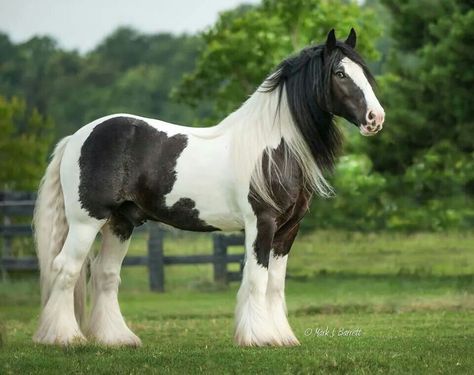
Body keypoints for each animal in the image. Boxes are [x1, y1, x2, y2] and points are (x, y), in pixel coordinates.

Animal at [32, 27, 382, 348]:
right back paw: (63, 337)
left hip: (120, 222)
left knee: (105, 274)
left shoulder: (288, 229)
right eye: (339, 73)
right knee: (66, 269)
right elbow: (256, 279)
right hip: (86, 221)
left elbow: (275, 284)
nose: (375, 118)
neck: (272, 149)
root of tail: (77, 137)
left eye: (365, 73)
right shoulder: (262, 223)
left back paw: (116, 339)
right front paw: (259, 337)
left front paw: (282, 336)